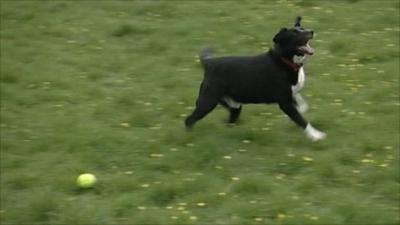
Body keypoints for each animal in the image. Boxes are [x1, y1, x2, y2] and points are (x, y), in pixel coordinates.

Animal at [186, 17, 326, 141]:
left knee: (230, 121)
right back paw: (190, 137)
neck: (284, 61)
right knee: (189, 120)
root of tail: (209, 63)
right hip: (208, 102)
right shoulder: (284, 102)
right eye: (294, 33)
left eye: (302, 28)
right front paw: (316, 135)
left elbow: (302, 107)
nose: (311, 31)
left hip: (234, 105)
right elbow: (301, 120)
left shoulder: (291, 96)